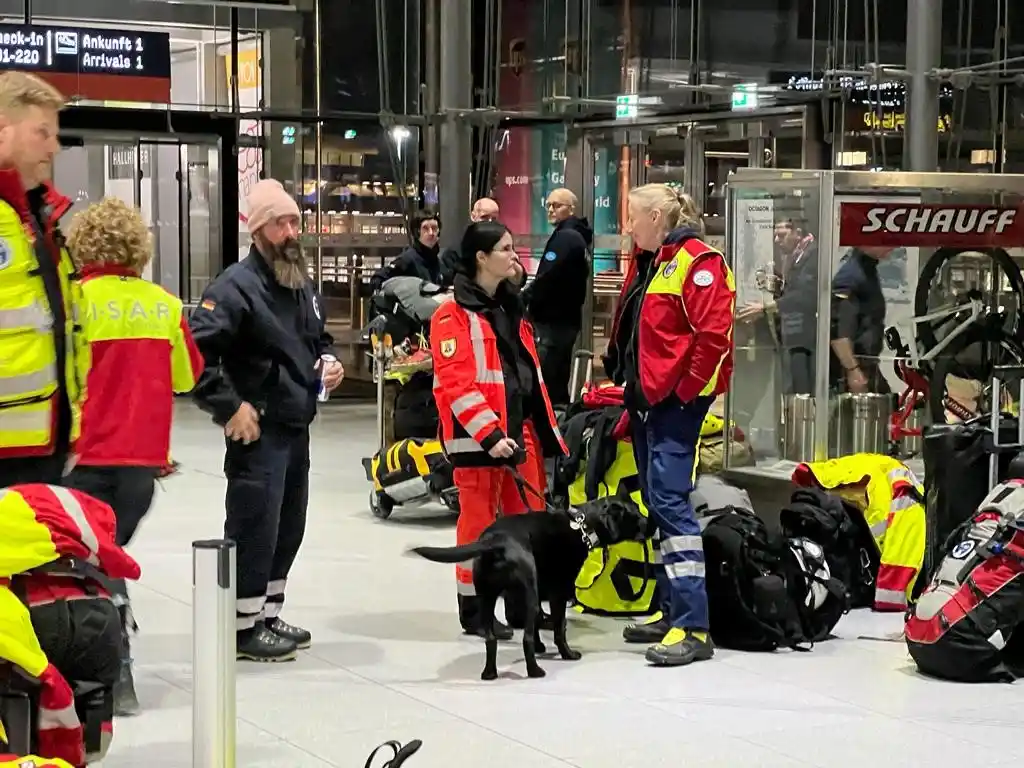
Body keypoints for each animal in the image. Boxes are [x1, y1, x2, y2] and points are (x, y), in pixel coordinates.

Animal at [411, 501, 643, 684]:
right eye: (637, 513)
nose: (649, 523)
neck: (582, 525)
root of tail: (494, 541)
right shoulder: (558, 595)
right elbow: (558, 629)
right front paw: (567, 653)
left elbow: (539, 622)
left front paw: (541, 646)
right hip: (527, 595)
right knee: (526, 638)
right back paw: (535, 671)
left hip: (487, 598)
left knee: (491, 639)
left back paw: (489, 673)